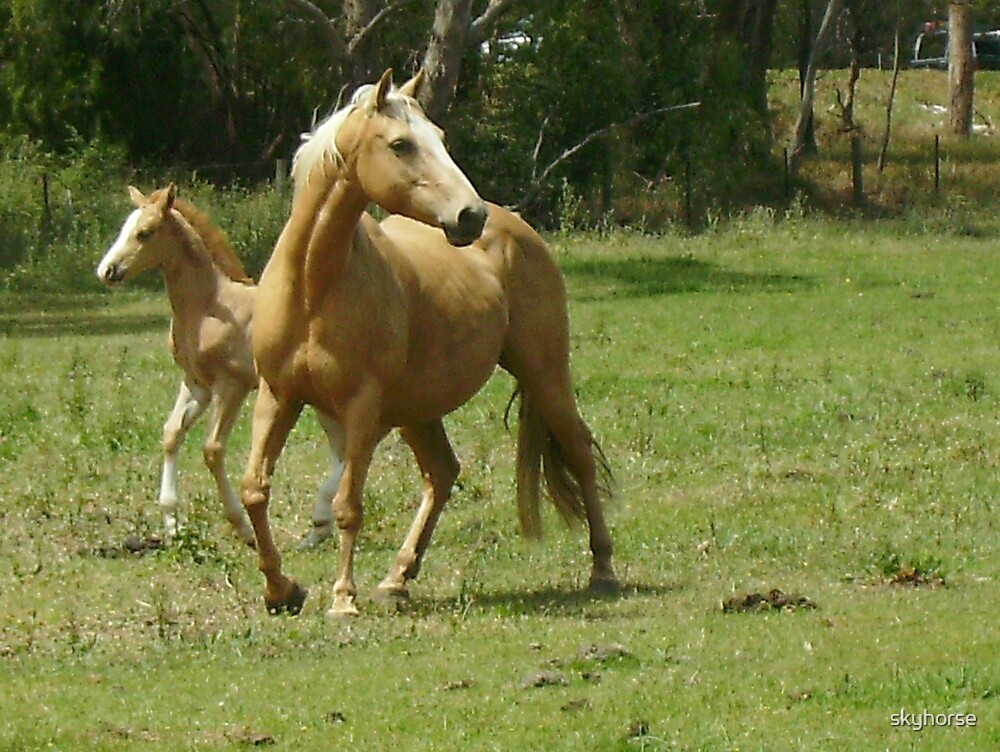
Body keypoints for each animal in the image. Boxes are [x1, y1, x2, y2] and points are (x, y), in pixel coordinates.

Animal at [96, 186, 345, 547]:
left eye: (145, 232)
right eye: (123, 228)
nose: (107, 270)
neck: (210, 306)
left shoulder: (231, 386)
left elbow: (212, 449)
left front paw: (243, 528)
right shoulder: (196, 383)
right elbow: (171, 433)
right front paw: (171, 521)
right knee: (342, 446)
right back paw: (319, 528)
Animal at [241, 69, 618, 618]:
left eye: (440, 137)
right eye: (401, 144)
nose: (469, 216)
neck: (313, 287)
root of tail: (515, 228)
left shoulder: (360, 406)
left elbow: (348, 506)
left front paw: (343, 598)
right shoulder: (278, 396)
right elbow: (254, 491)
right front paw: (281, 589)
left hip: (545, 373)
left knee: (579, 451)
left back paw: (603, 569)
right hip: (416, 410)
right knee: (442, 473)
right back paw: (398, 578)